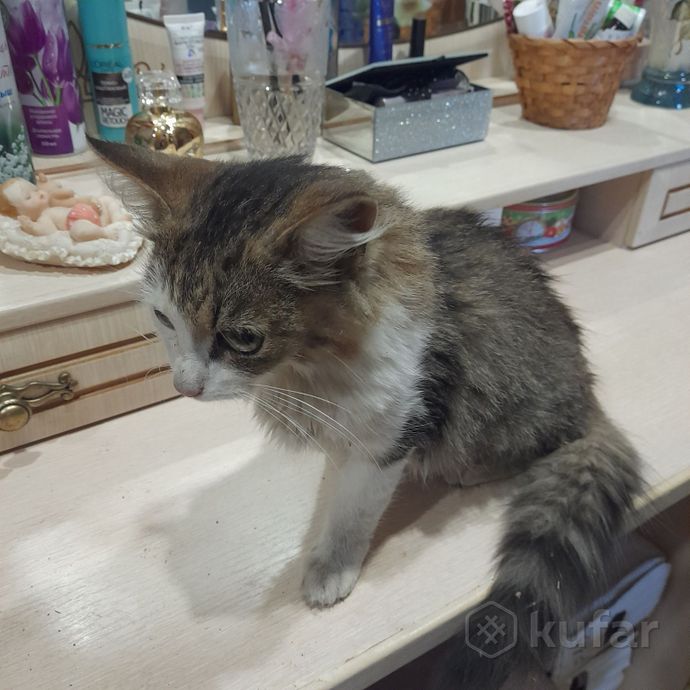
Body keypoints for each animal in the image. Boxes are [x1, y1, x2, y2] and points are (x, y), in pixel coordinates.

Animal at [90, 138, 642, 689]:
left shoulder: (394, 433)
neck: (304, 370)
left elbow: (353, 513)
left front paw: (331, 567)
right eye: (163, 318)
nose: (184, 388)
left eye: (243, 338)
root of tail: (586, 389)